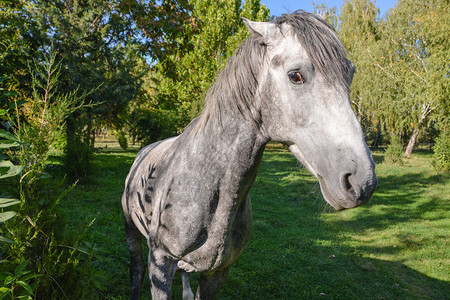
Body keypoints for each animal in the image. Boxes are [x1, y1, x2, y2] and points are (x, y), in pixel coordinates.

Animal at [121, 10, 378, 298]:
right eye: (296, 76)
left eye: (350, 75)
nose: (362, 181)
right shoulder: (160, 264)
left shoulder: (217, 273)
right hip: (132, 233)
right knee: (136, 272)